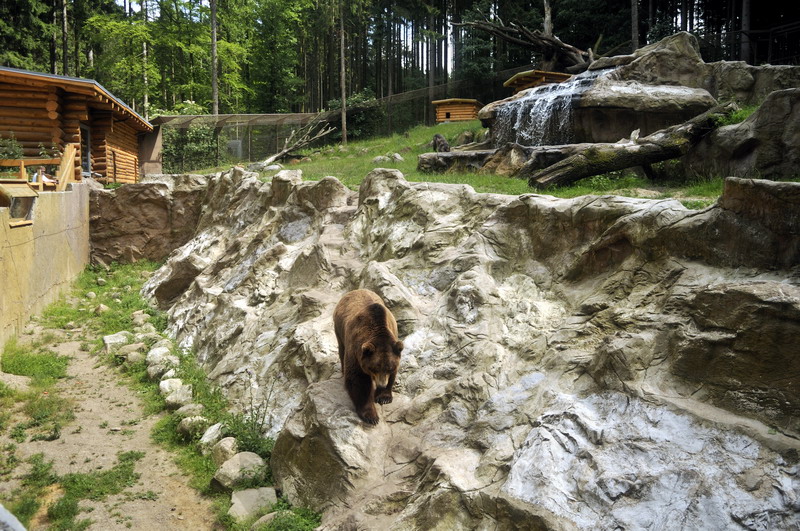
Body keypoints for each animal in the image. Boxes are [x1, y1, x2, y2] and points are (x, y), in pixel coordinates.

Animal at [333, 289, 403, 425]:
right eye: (374, 368)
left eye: (389, 368)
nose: (381, 385)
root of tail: (354, 291)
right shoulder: (356, 349)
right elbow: (358, 379)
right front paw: (371, 416)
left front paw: (384, 397)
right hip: (339, 328)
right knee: (342, 350)